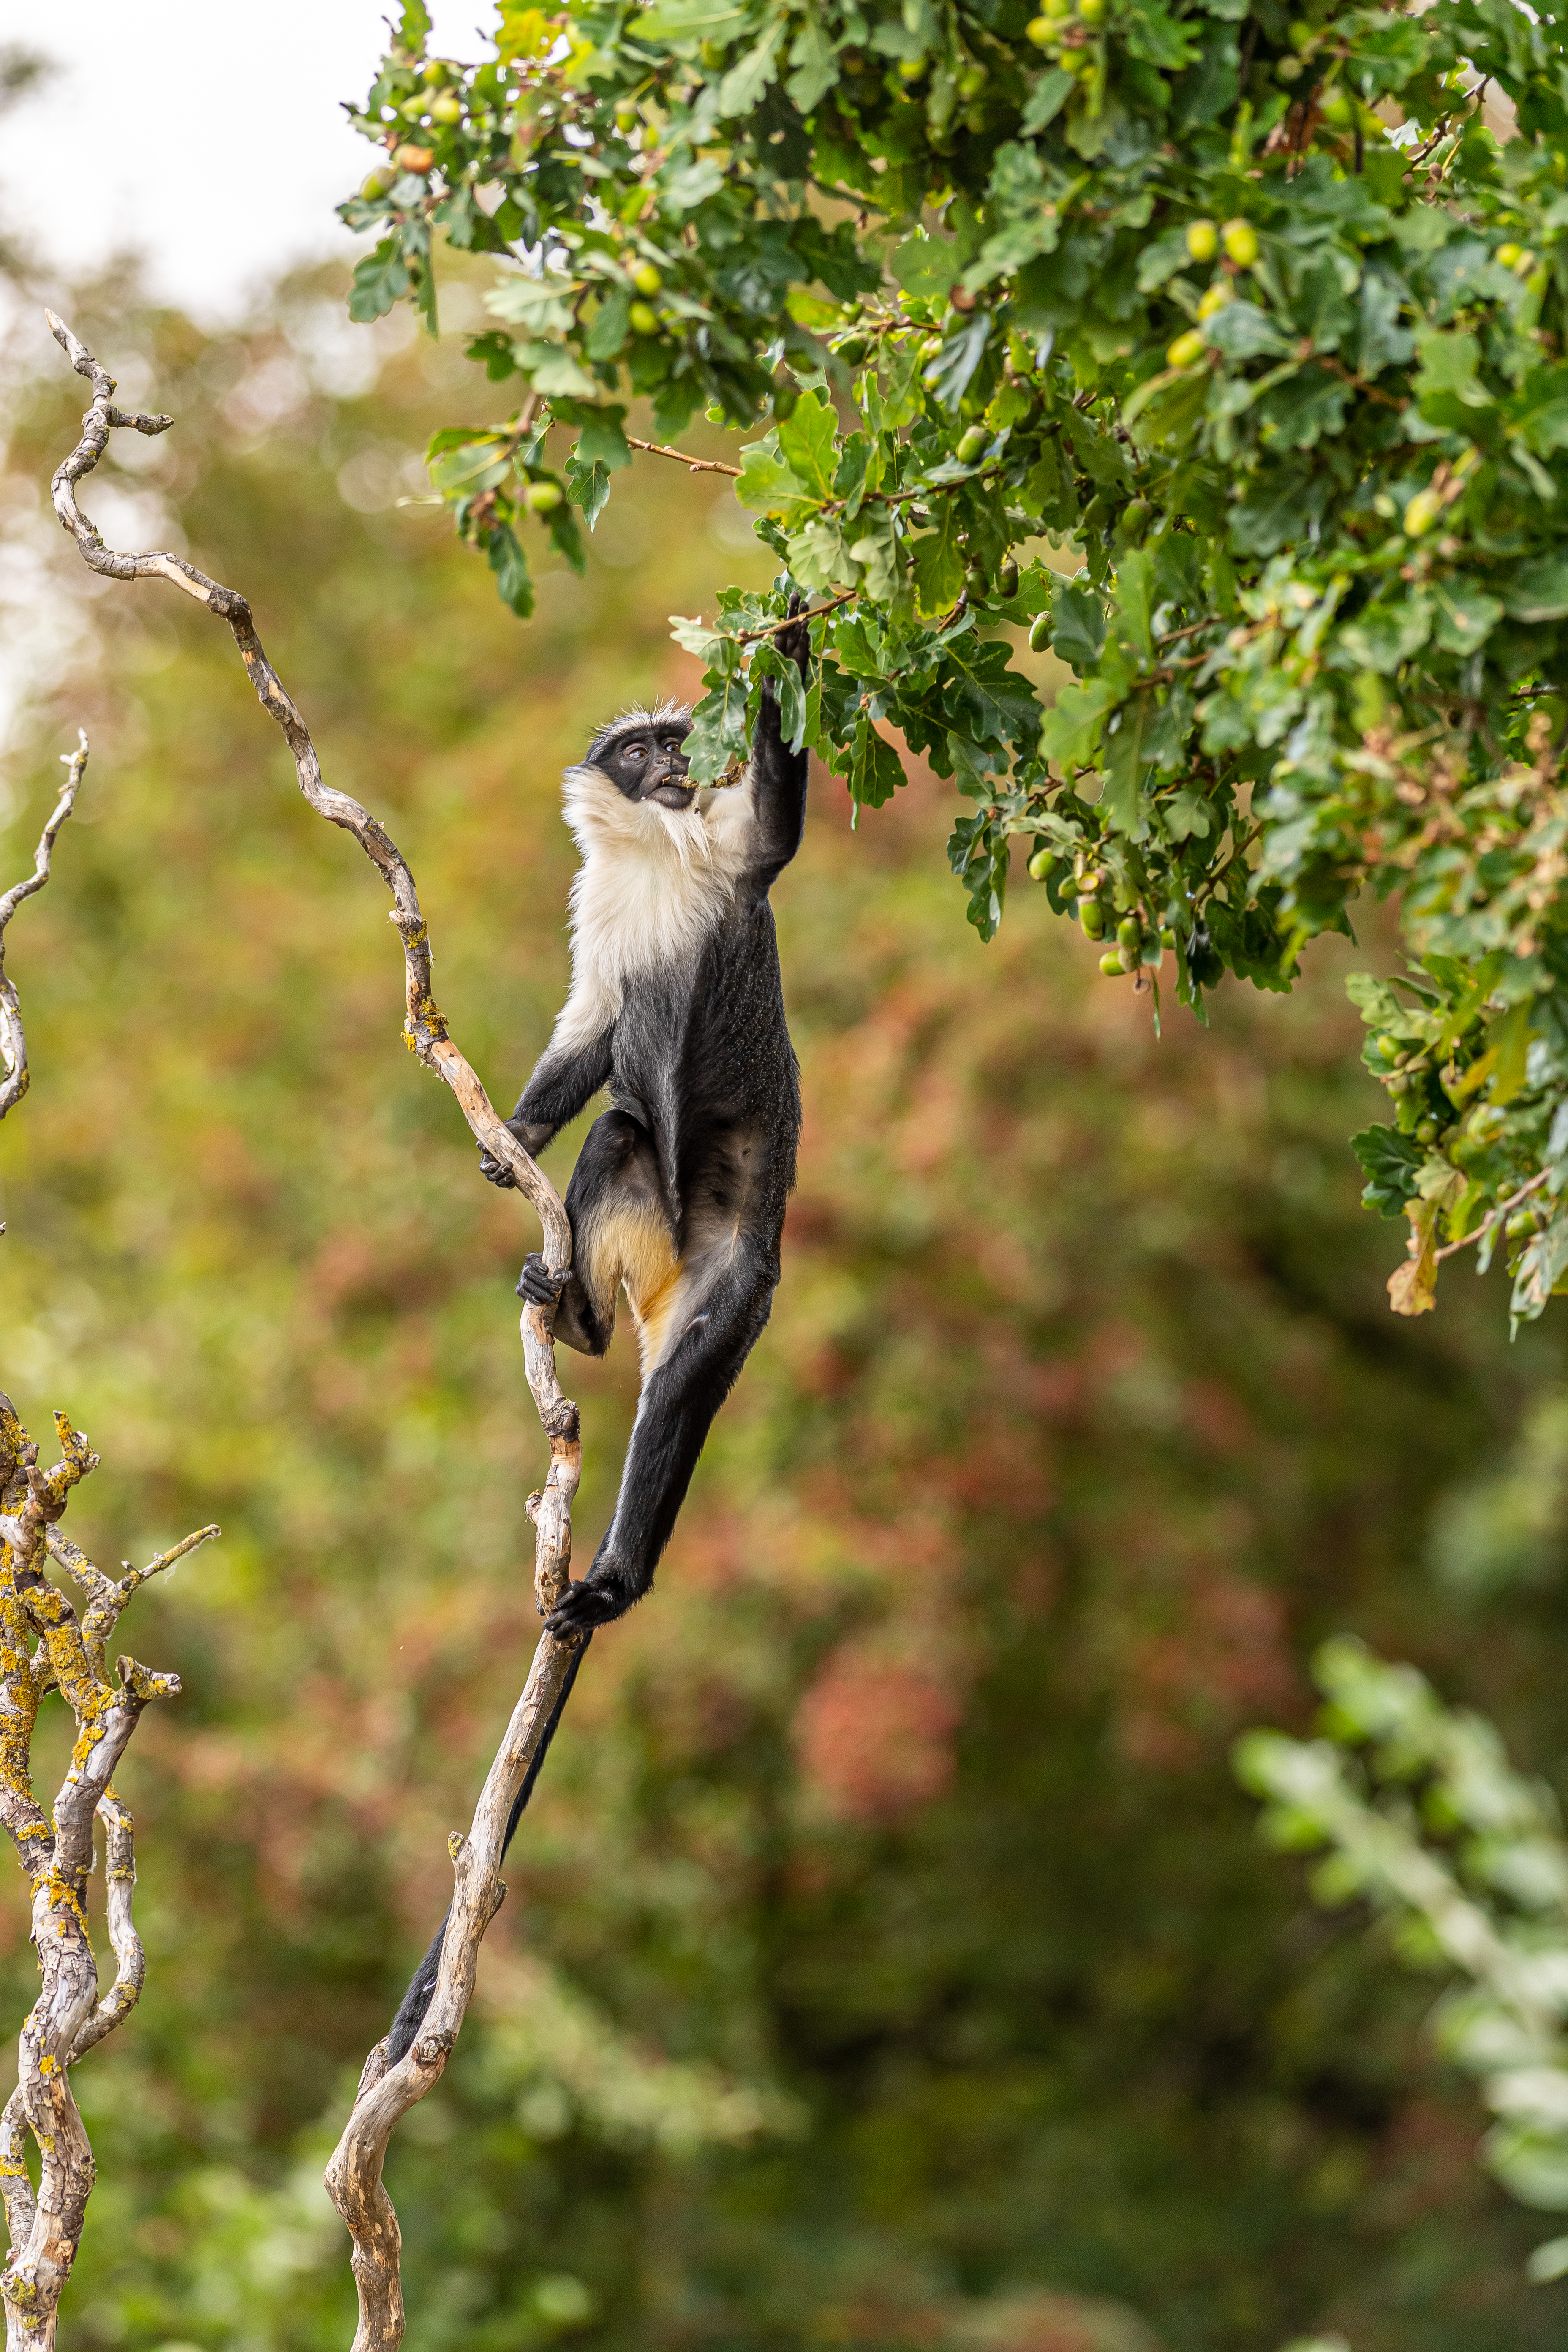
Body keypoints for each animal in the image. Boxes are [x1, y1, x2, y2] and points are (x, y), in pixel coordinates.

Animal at [384, 610, 810, 2066]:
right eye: (639, 750)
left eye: (681, 741)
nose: (673, 765)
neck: (656, 854)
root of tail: (676, 1267)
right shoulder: (604, 922)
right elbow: (592, 1032)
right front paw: (506, 1129)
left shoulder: (731, 854)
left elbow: (775, 829)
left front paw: (794, 628)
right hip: (640, 1204)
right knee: (623, 1128)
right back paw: (568, 1313)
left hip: (740, 1274)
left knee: (678, 1396)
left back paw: (616, 1574)